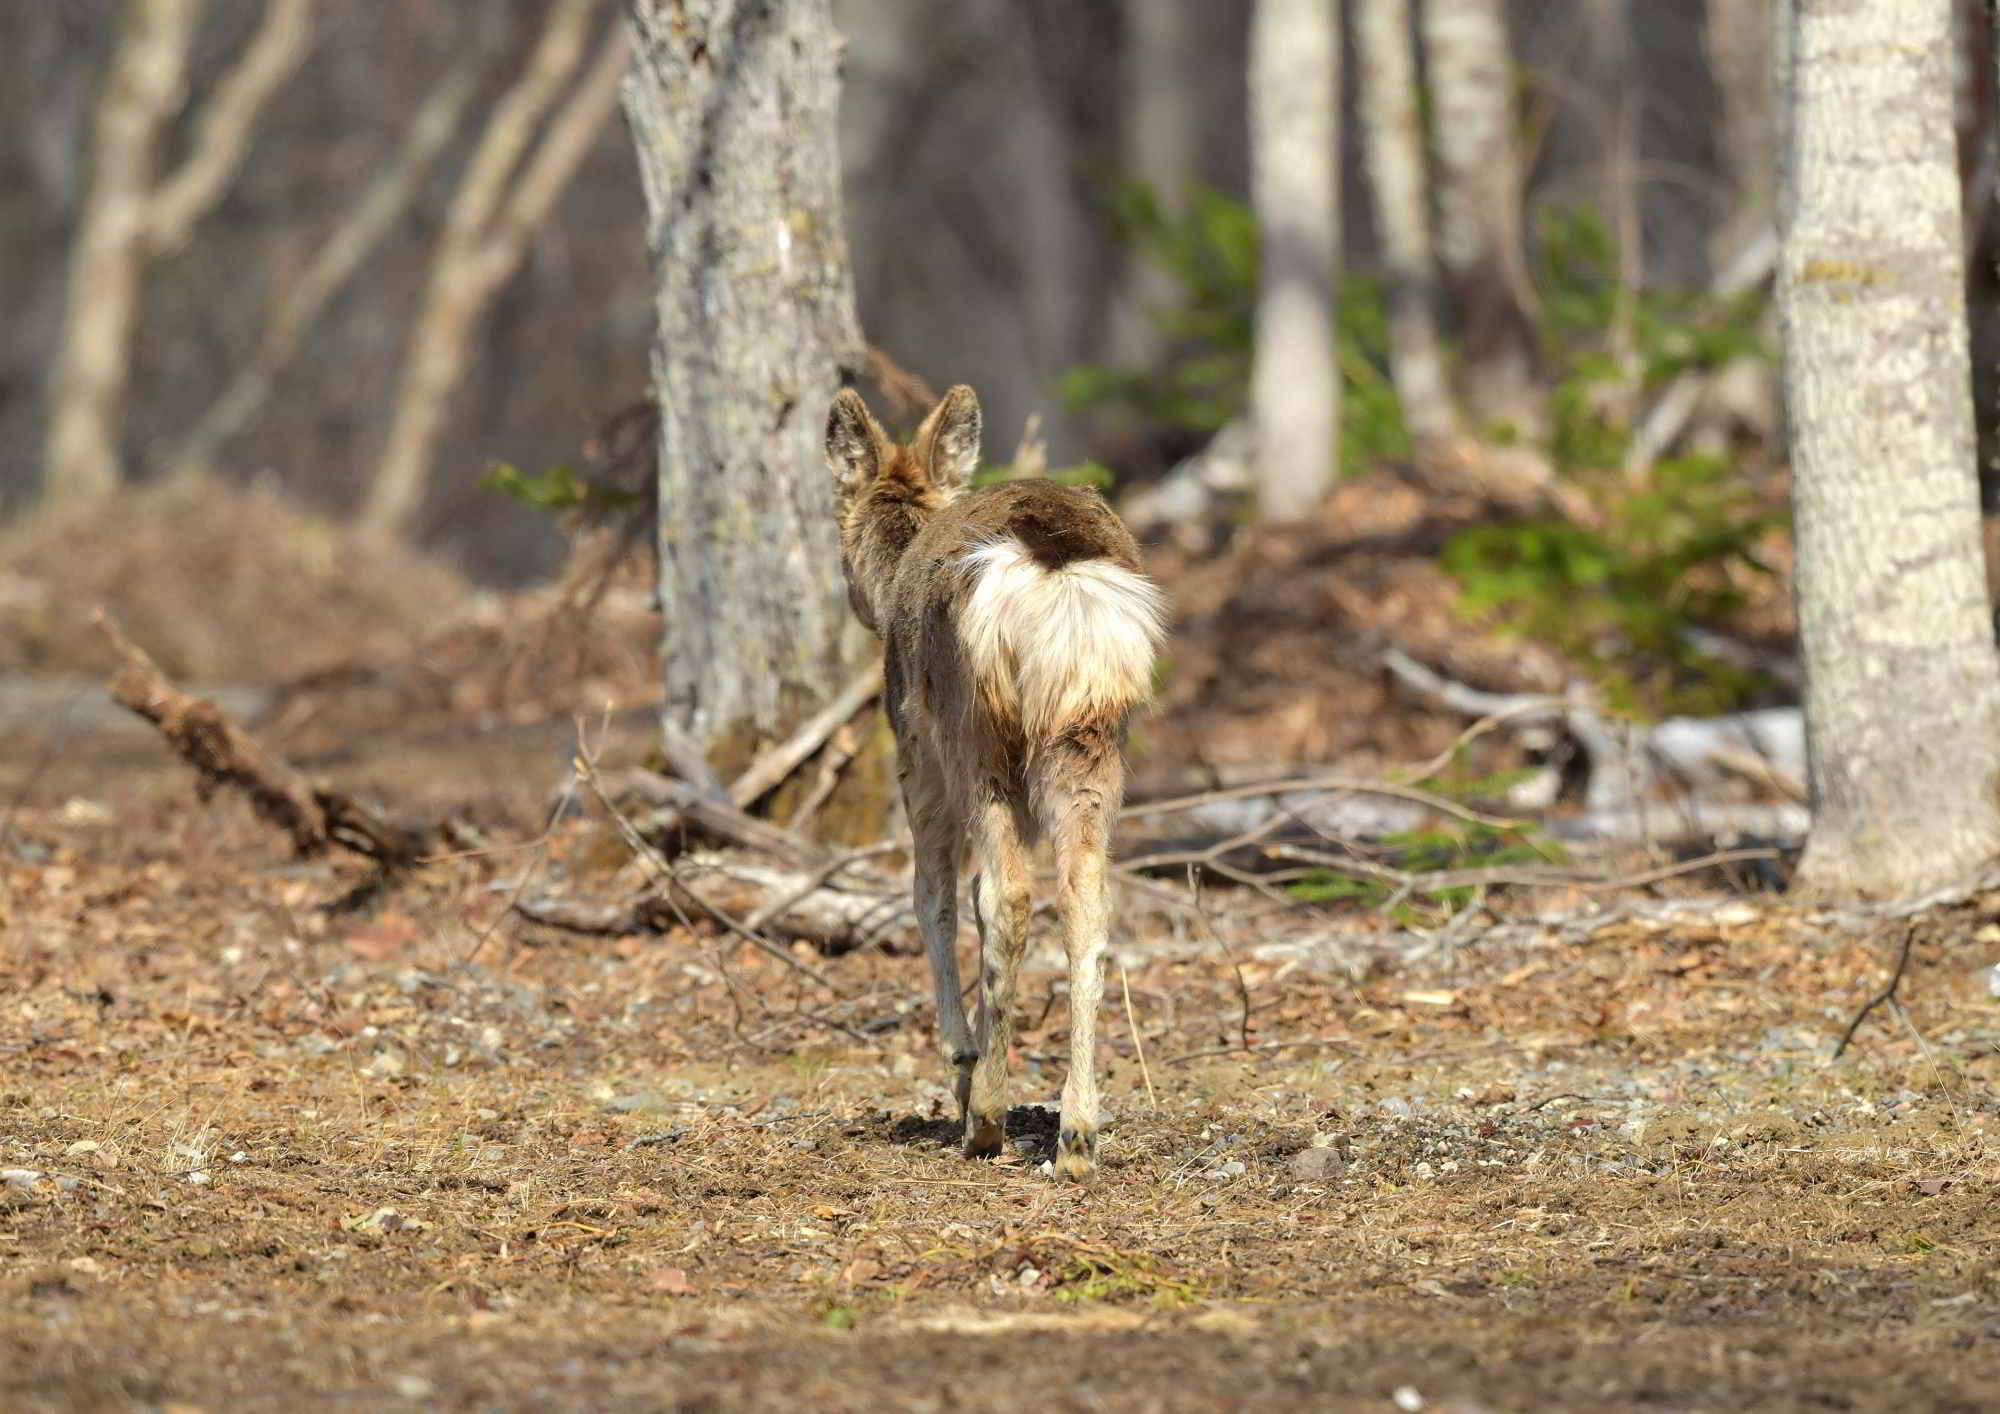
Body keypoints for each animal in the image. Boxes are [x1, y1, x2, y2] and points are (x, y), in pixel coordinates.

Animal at [825, 384, 1168, 1181]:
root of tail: (1053, 565)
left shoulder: (913, 746)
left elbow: (932, 899)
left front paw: (963, 1066)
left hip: (971, 727)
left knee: (1004, 892)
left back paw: (984, 1116)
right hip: (1092, 730)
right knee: (1087, 895)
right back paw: (1078, 1136)